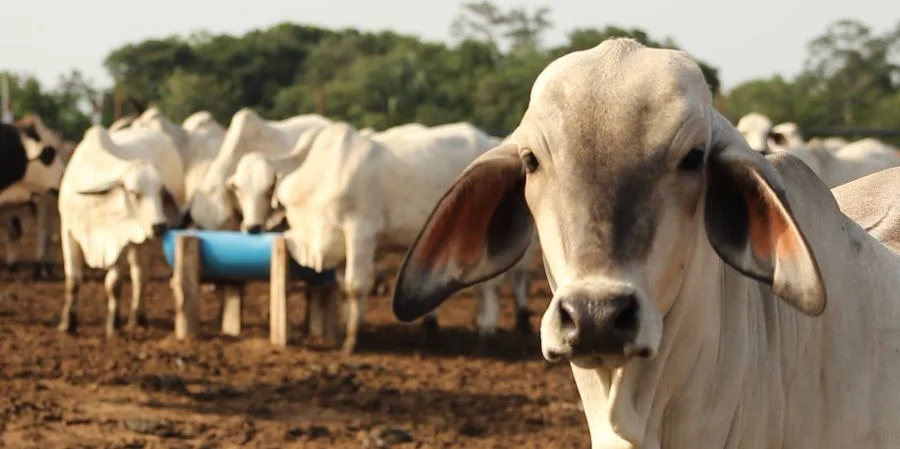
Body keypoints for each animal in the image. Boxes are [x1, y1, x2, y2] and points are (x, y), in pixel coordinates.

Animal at [56, 124, 186, 334]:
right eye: (134, 193)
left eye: (161, 193)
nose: (159, 226)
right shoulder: (67, 231)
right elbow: (73, 281)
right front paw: (67, 323)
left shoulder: (120, 241)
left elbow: (114, 284)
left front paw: (113, 325)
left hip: (140, 240)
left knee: (140, 275)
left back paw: (138, 318)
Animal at [274, 121, 536, 354]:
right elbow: (342, 290)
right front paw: (349, 327)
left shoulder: (360, 231)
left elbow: (354, 287)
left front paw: (352, 341)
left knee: (492, 286)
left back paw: (486, 335)